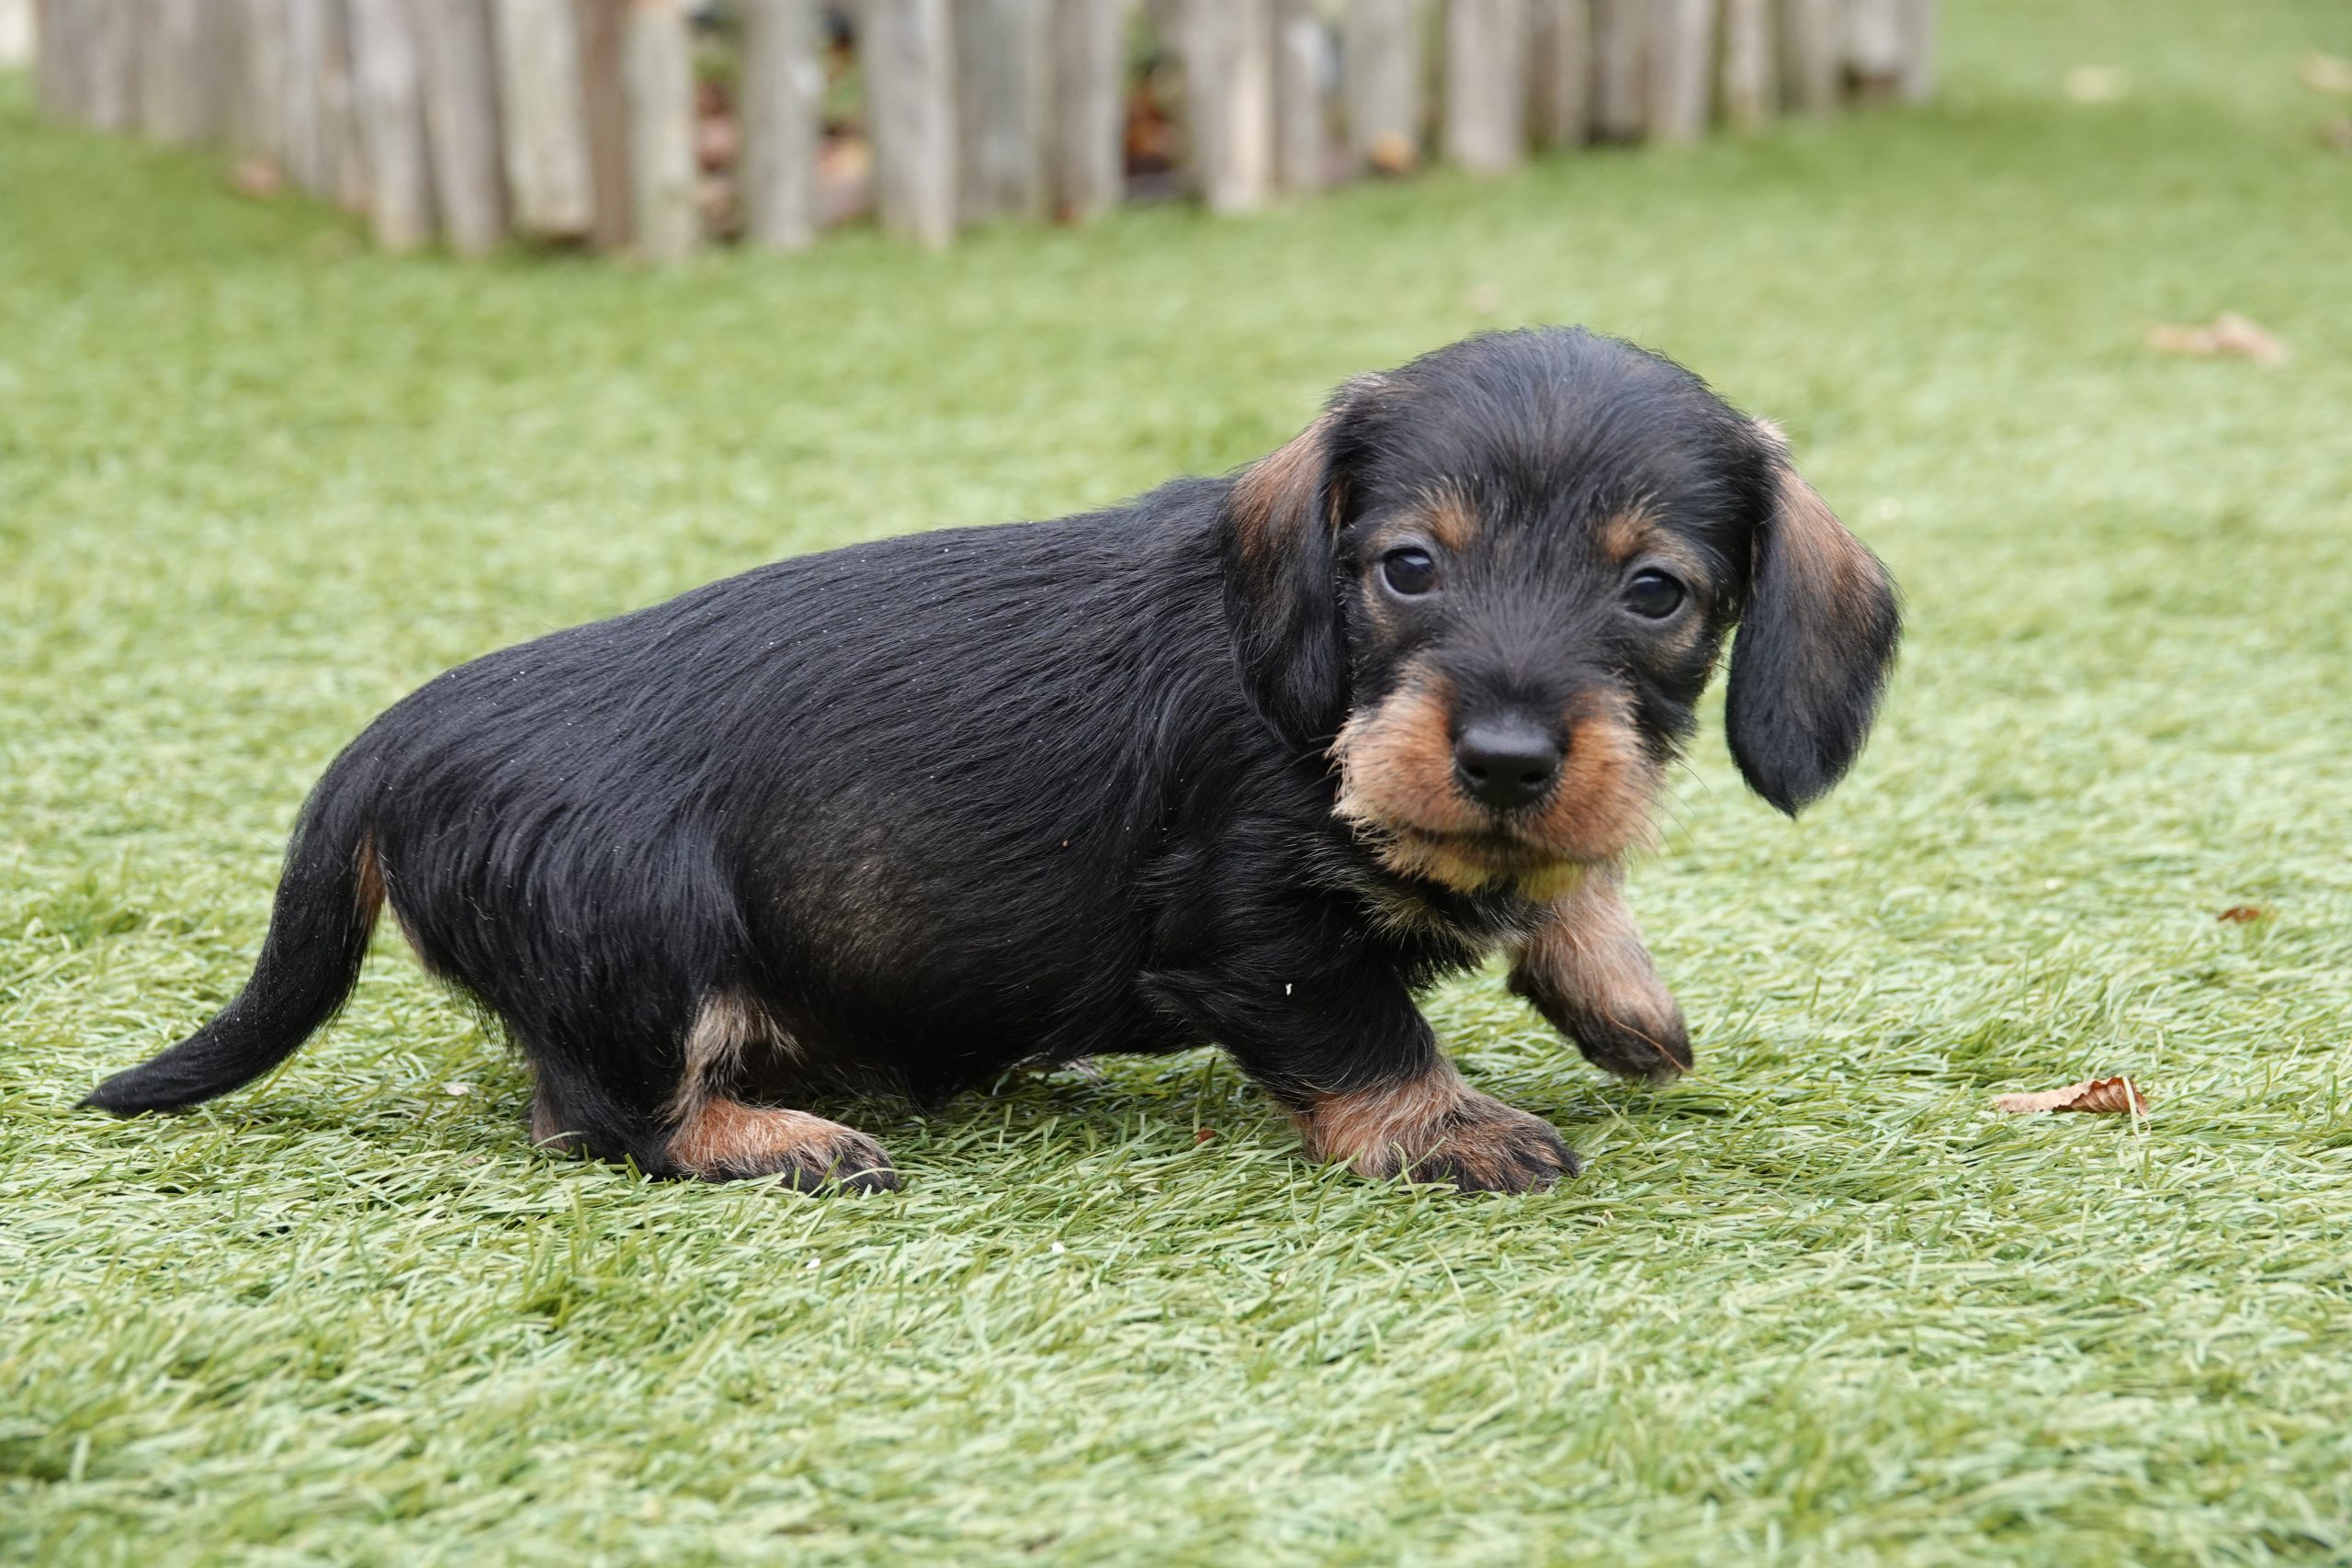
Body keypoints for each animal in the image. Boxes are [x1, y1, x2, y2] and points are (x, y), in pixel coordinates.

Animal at [84, 328, 1900, 1194]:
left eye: (1657, 592)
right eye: (1406, 567)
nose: (1511, 752)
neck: (1311, 683)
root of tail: (399, 735)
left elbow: (1547, 873)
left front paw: (1615, 980)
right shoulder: (1251, 922)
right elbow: (1362, 1021)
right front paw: (1447, 1126)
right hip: (637, 930)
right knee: (598, 1107)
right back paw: (772, 1135)